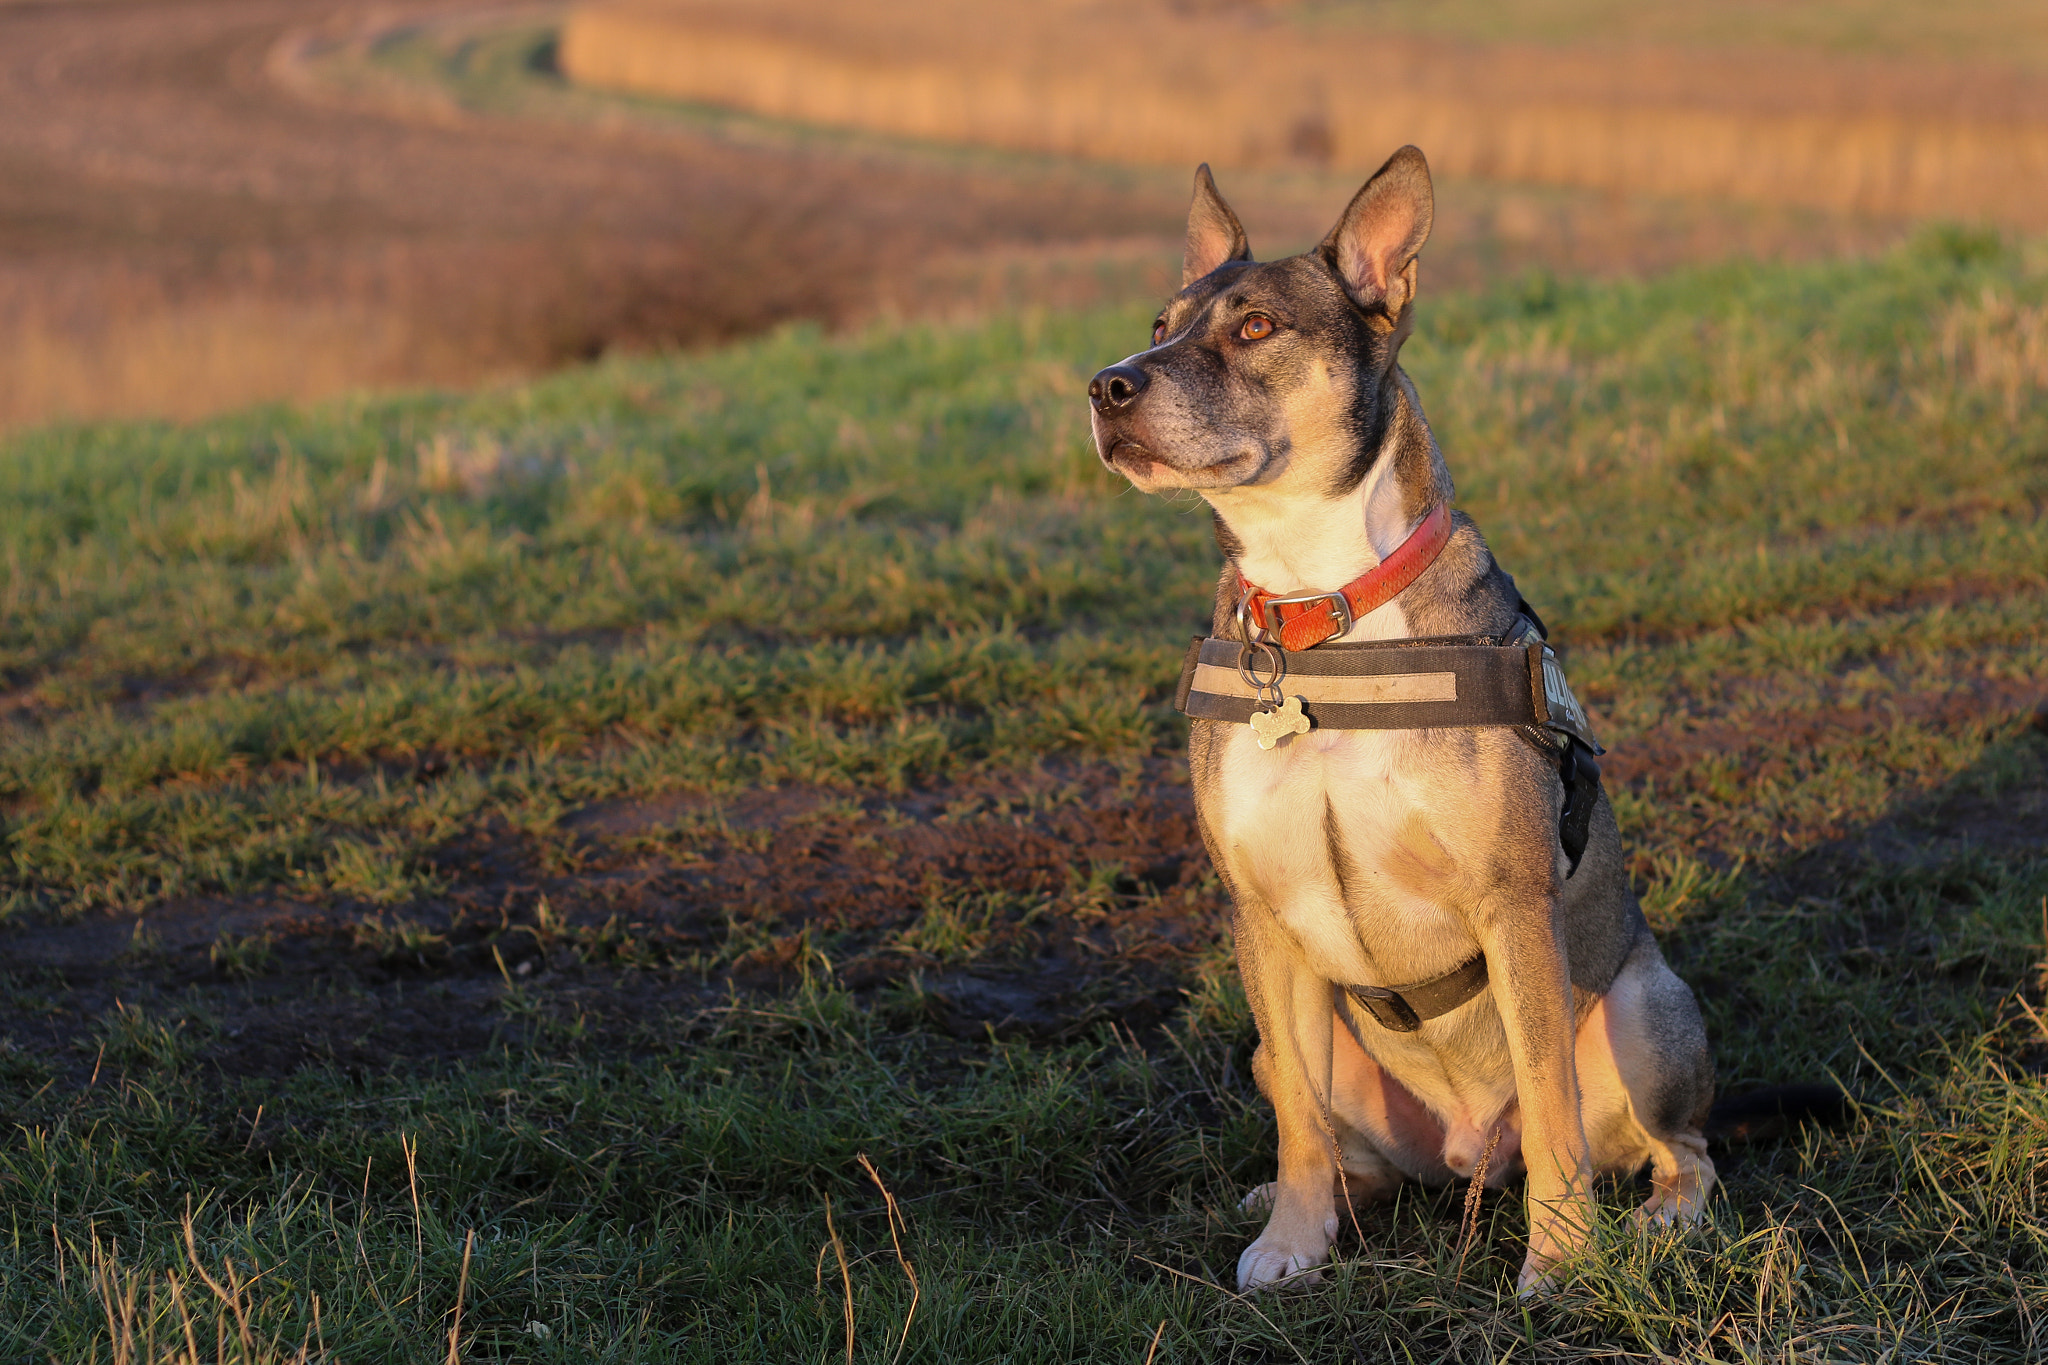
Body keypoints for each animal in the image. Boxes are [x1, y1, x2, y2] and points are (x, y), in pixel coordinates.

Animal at [1081, 147, 1720, 1293]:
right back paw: (1320, 1198)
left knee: (1677, 1146)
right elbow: (1297, 1117)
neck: (1317, 611)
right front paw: (1293, 1239)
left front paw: (1560, 1261)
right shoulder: (1261, 918)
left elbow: (1551, 1103)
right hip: (1295, 1041)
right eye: (1158, 321)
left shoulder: (1513, 907)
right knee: (1341, 1142)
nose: (1108, 384)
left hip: (1647, 1009)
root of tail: (1467, 1151)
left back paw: (1658, 1219)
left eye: (1255, 328)